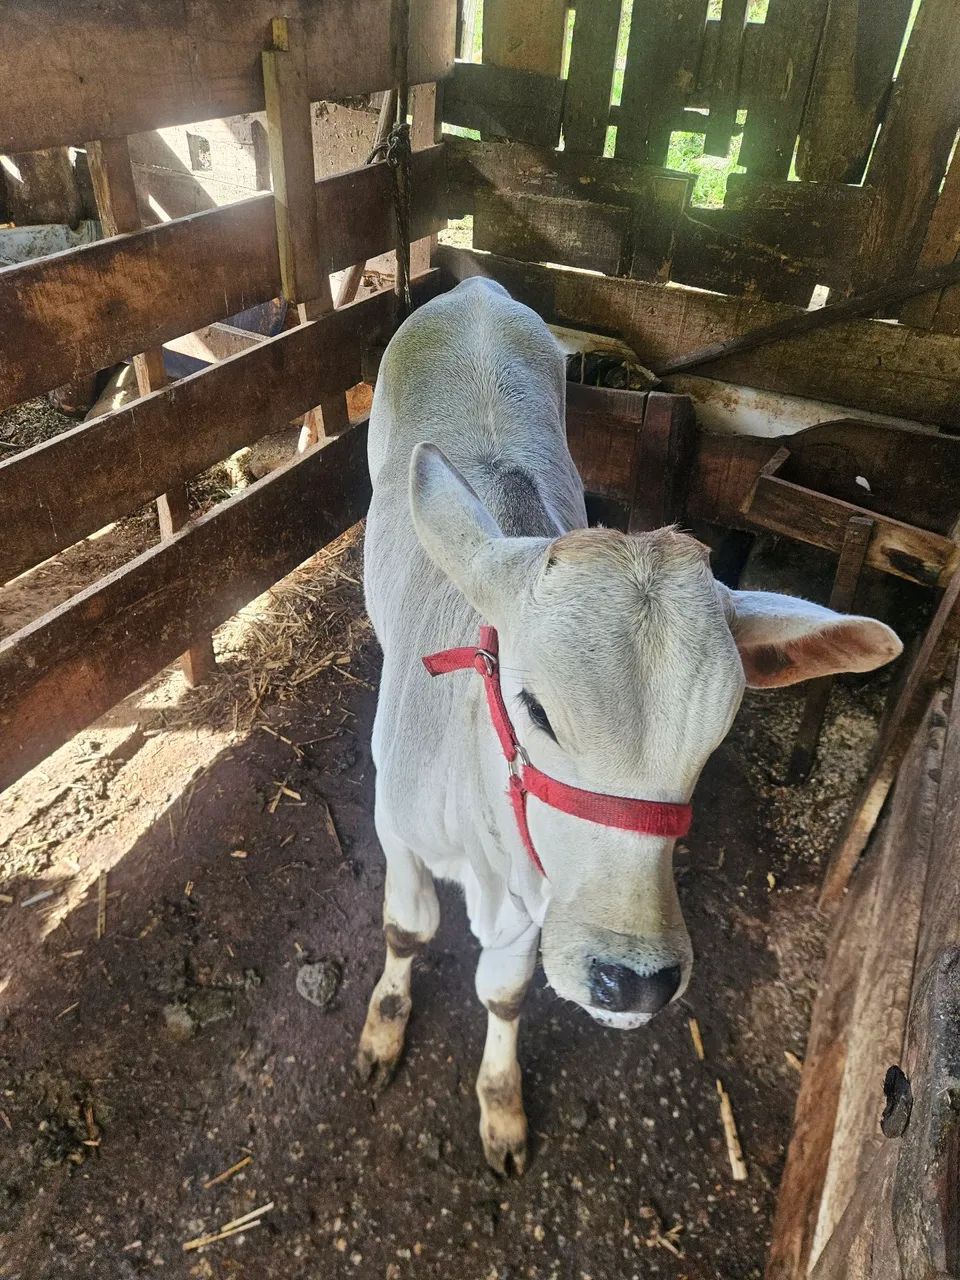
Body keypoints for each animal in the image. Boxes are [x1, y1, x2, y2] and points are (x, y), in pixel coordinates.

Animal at [358, 277, 902, 1174]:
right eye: (534, 709)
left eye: (716, 733)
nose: (634, 979)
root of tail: (474, 286)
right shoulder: (393, 825)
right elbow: (407, 928)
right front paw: (383, 1027)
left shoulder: (541, 897)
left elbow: (504, 992)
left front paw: (501, 1106)